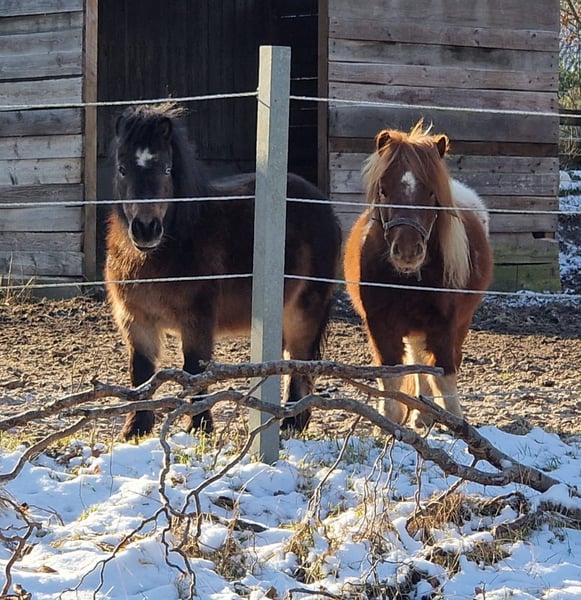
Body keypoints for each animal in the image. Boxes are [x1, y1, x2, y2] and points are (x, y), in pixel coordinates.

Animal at [105, 103, 342, 440]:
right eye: (123, 168)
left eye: (166, 169)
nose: (146, 228)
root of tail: (323, 206)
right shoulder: (137, 322)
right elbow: (141, 373)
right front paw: (136, 429)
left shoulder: (197, 321)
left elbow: (195, 371)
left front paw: (199, 427)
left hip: (304, 312)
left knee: (300, 363)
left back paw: (291, 423)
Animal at [343, 121, 493, 427]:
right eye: (384, 190)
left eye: (432, 193)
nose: (408, 251)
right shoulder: (380, 325)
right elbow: (392, 377)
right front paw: (391, 423)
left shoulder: (445, 325)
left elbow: (445, 376)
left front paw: (455, 424)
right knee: (418, 360)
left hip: (459, 322)